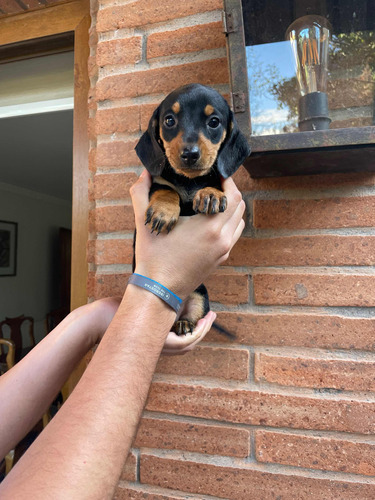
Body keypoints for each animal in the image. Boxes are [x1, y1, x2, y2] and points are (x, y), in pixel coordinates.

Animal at [134, 83, 250, 336]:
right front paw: (163, 213)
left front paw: (209, 195)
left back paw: (184, 323)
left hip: (199, 293)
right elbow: (167, 190)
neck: (189, 181)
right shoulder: (157, 182)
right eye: (169, 120)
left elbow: (213, 182)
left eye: (214, 122)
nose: (189, 154)